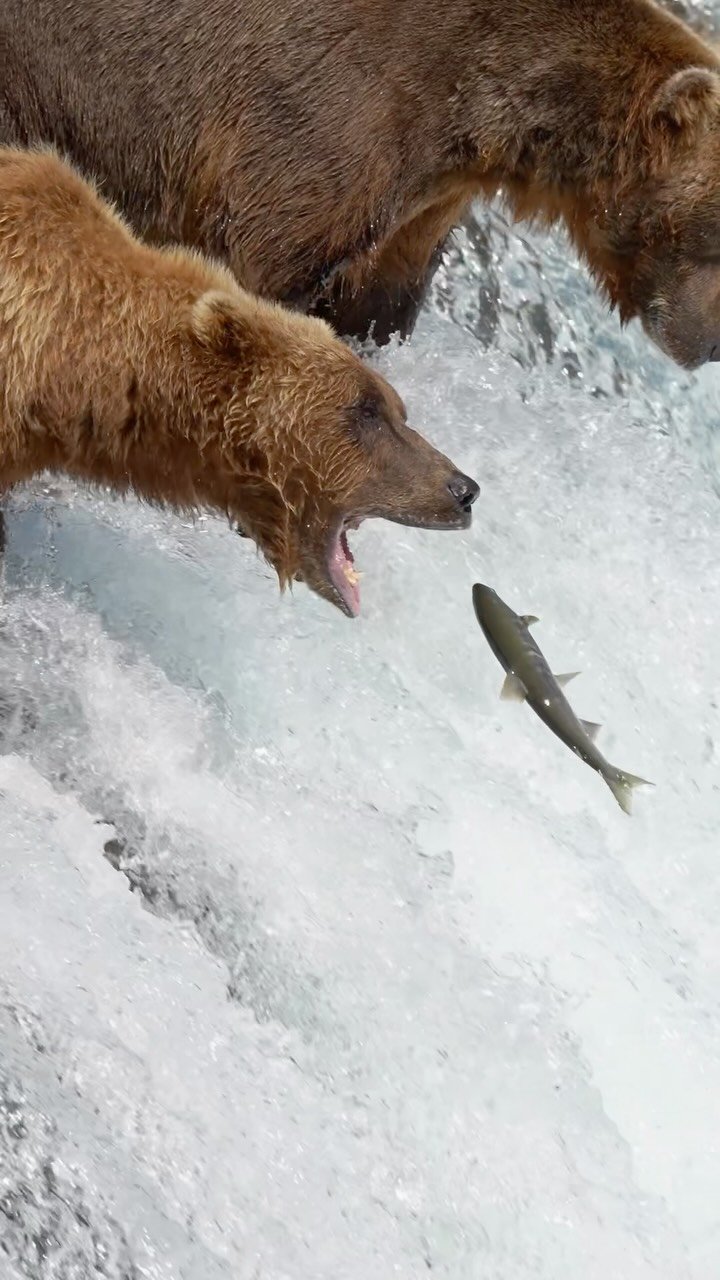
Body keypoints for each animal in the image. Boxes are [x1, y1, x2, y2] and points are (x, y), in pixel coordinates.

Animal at [1, 0, 720, 365]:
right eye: (715, 237)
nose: (712, 345)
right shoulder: (328, 111)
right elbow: (261, 262)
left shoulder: (425, 200)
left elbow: (375, 302)